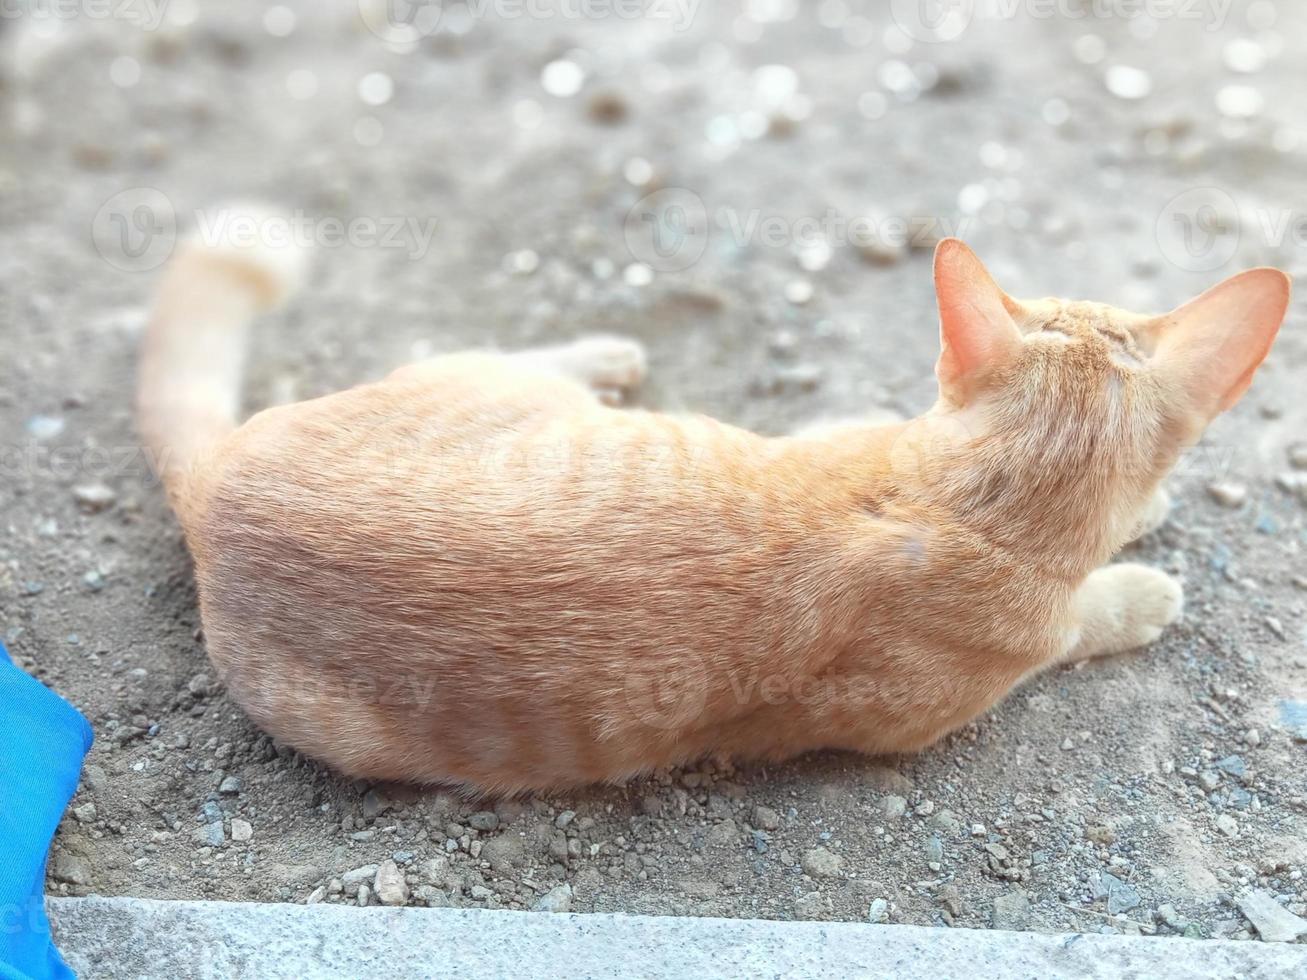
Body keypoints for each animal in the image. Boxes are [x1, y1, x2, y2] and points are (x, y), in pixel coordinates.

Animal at [135, 218, 1286, 794]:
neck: (959, 502)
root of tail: (218, 483)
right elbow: (1085, 617)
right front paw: (1139, 580)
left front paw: (1139, 513)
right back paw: (603, 352)